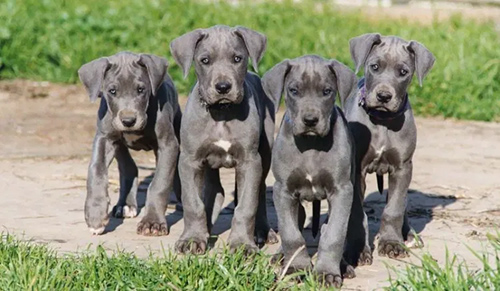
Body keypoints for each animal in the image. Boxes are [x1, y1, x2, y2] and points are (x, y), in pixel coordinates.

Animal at [77, 52, 181, 237]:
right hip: (118, 143)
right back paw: (125, 204)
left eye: (141, 89)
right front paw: (96, 214)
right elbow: (96, 171)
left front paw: (152, 222)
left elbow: (159, 183)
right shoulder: (104, 138)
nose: (128, 121)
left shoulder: (168, 144)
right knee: (129, 166)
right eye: (112, 91)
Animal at [169, 25, 278, 256]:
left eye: (237, 58)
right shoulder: (190, 161)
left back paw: (263, 231)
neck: (221, 112)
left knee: (260, 190)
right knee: (214, 190)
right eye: (205, 60)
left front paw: (242, 244)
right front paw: (192, 239)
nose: (223, 87)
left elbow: (246, 206)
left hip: (265, 153)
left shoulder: (250, 161)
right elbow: (193, 203)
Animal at [264, 54, 358, 288]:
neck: (310, 144)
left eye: (327, 91)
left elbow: (333, 235)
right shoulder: (283, 191)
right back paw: (281, 257)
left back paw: (344, 266)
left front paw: (327, 273)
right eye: (293, 90)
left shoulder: (342, 191)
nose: (310, 120)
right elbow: (291, 235)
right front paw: (297, 268)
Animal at [344, 33, 434, 266]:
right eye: (374, 67)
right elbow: (356, 212)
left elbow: (393, 208)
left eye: (403, 72)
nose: (384, 96)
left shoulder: (402, 168)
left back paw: (409, 234)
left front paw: (392, 243)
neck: (382, 121)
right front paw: (358, 249)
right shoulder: (356, 170)